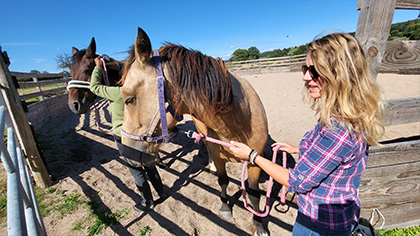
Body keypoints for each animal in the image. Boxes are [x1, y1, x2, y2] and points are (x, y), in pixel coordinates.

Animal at [119, 27, 270, 234]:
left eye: (129, 99)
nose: (126, 153)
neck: (238, 124)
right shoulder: (219, 156)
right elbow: (223, 181)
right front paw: (225, 207)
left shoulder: (255, 162)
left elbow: (254, 195)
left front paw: (259, 225)